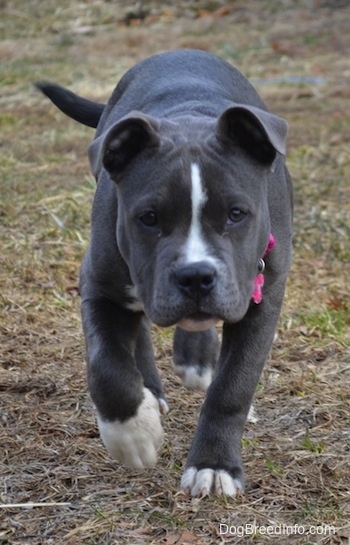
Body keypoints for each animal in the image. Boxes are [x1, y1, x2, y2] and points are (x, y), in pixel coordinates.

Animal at [37, 49, 292, 496]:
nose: (196, 277)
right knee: (135, 329)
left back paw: (198, 360)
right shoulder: (99, 284)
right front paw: (131, 434)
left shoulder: (265, 294)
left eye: (237, 214)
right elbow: (105, 363)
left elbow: (234, 385)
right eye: (149, 218)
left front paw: (213, 465)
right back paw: (149, 395)